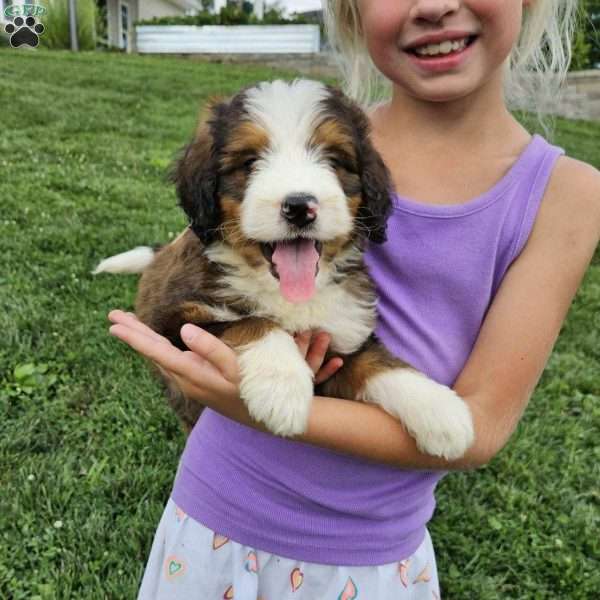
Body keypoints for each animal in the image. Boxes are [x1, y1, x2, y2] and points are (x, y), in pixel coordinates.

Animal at [96, 79, 474, 462]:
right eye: (250, 162)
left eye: (334, 160)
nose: (299, 207)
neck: (283, 290)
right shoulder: (174, 321)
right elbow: (251, 323)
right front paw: (281, 387)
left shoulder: (342, 337)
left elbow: (377, 361)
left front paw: (439, 410)